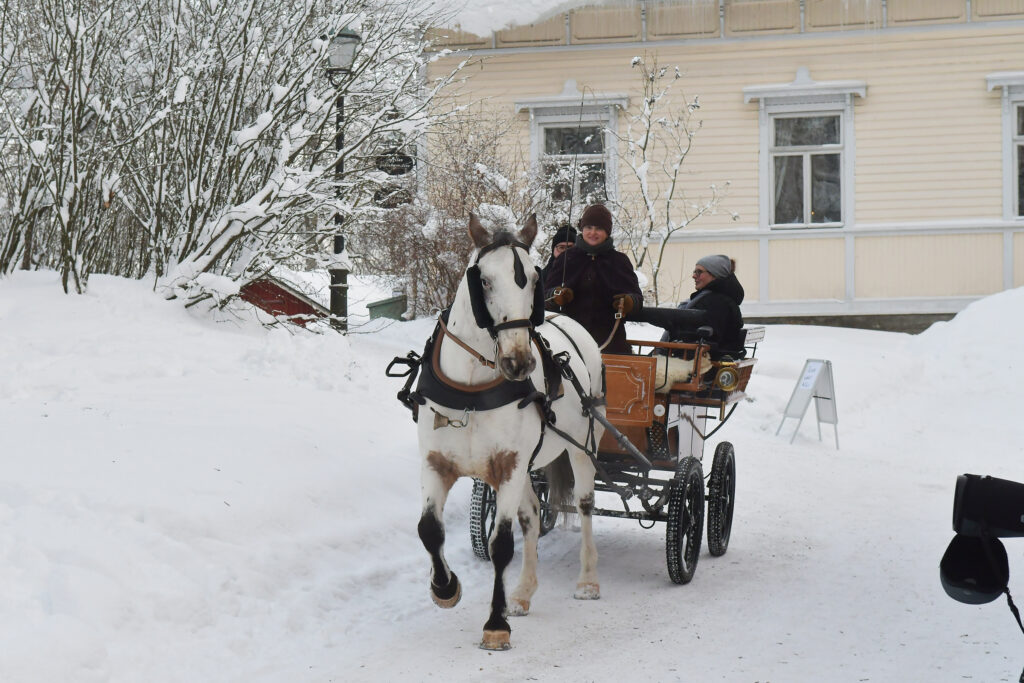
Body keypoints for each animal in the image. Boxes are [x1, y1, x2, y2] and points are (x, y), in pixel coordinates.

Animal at [413, 210, 606, 651]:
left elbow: (501, 545)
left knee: (585, 505)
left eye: (534, 279)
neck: (471, 391)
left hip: (582, 445)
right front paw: (445, 587)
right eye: (483, 279)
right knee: (532, 518)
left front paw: (495, 624)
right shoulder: (437, 462)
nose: (519, 362)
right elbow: (429, 530)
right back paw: (522, 593)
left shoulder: (510, 464)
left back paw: (587, 580)